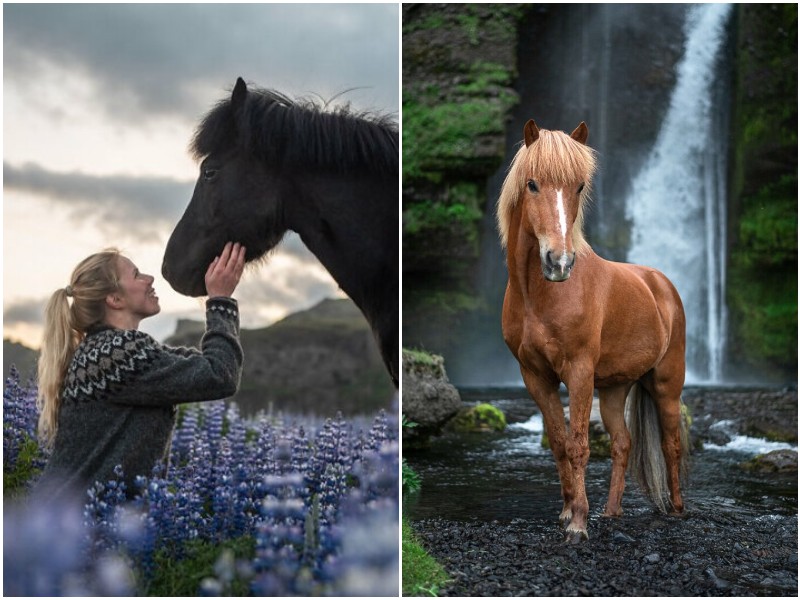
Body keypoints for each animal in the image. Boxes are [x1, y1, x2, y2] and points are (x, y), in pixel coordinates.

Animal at [494, 119, 688, 540]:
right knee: (622, 443)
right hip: (615, 388)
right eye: (532, 184)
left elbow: (578, 446)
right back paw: (612, 512)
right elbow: (558, 443)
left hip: (666, 384)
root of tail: (661, 284)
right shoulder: (535, 376)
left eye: (579, 186)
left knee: (671, 445)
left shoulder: (579, 371)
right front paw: (567, 512)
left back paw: (678, 510)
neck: (538, 297)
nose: (559, 262)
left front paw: (578, 524)